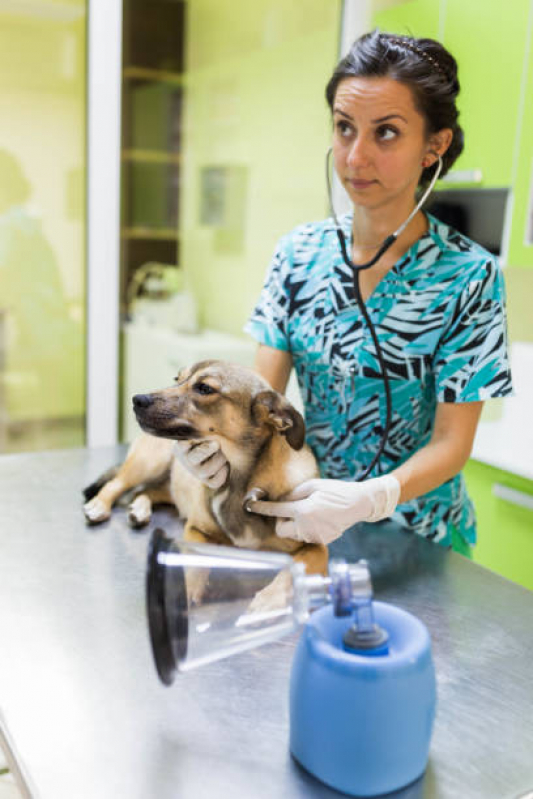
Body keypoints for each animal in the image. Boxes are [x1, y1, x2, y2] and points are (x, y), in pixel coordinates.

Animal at [82, 360, 328, 604]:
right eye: (177, 379)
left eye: (204, 388)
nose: (137, 400)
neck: (238, 482)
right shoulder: (195, 528)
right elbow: (193, 562)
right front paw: (187, 590)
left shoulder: (317, 547)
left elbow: (296, 568)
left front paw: (268, 601)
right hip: (149, 462)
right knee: (116, 484)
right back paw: (99, 506)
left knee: (145, 491)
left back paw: (139, 510)